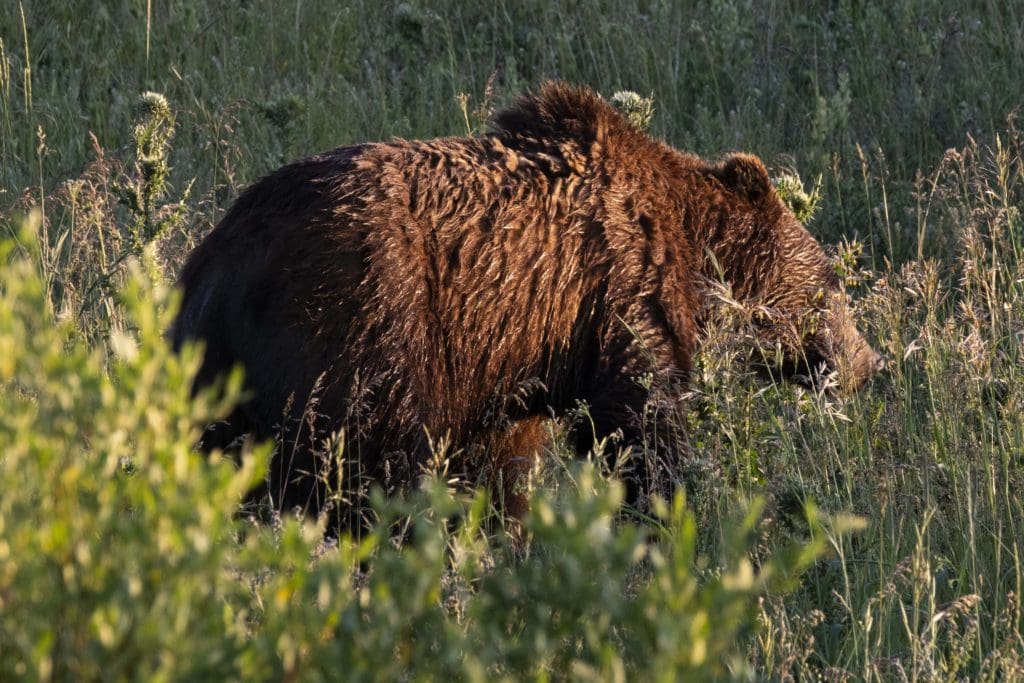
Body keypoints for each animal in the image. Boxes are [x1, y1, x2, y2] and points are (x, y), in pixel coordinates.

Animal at [172, 82, 884, 520]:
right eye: (832, 283)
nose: (867, 362)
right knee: (360, 459)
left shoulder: (509, 355)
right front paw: (661, 515)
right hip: (358, 317)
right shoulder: (622, 295)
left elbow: (503, 462)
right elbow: (640, 428)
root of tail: (217, 257)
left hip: (216, 366)